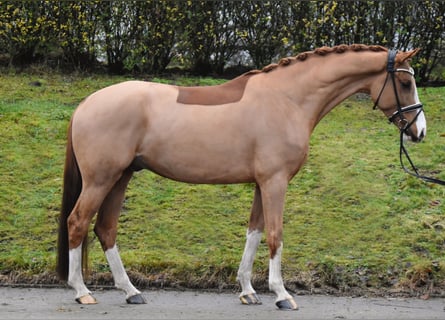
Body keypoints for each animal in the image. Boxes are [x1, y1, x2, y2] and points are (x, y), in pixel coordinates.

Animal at [57, 45, 424, 310]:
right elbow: (275, 234)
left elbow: (255, 232)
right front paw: (282, 294)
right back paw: (82, 291)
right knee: (77, 222)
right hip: (101, 180)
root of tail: (86, 104)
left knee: (105, 228)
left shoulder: (262, 184)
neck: (288, 99)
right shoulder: (275, 182)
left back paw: (130, 290)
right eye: (405, 83)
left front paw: (248, 290)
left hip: (120, 178)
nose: (419, 131)